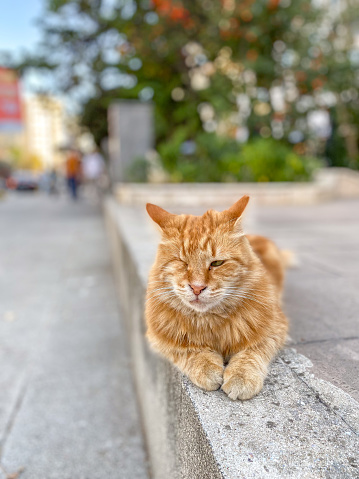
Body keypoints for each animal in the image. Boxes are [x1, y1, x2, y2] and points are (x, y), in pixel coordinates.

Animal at [145, 196, 288, 402]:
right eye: (183, 263)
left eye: (217, 263)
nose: (197, 288)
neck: (211, 321)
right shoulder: (159, 338)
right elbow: (190, 350)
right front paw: (206, 367)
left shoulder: (274, 329)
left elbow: (251, 353)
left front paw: (241, 376)